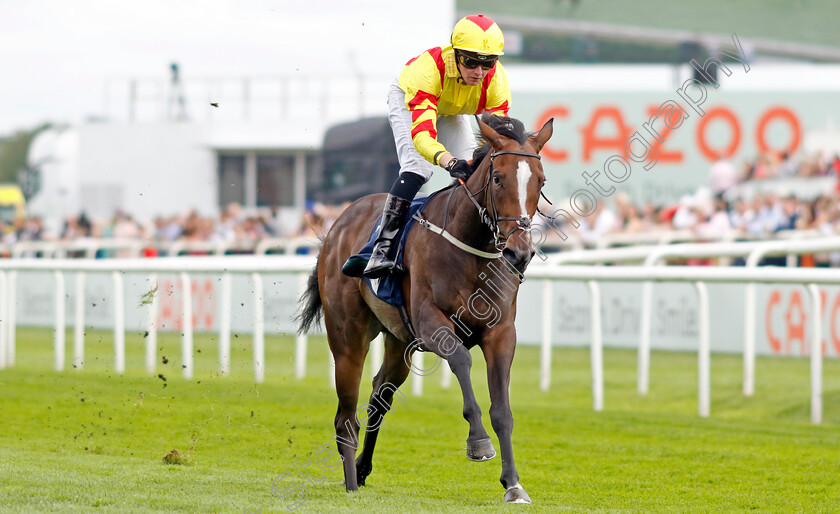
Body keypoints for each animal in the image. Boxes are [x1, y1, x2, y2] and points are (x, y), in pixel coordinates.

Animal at [296, 113, 552, 504]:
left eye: (540, 181)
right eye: (497, 178)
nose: (519, 252)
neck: (472, 248)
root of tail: (338, 224)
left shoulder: (501, 333)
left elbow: (503, 410)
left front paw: (513, 484)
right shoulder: (432, 321)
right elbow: (461, 359)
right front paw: (478, 442)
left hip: (398, 340)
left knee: (379, 396)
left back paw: (364, 470)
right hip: (348, 338)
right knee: (346, 417)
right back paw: (351, 481)